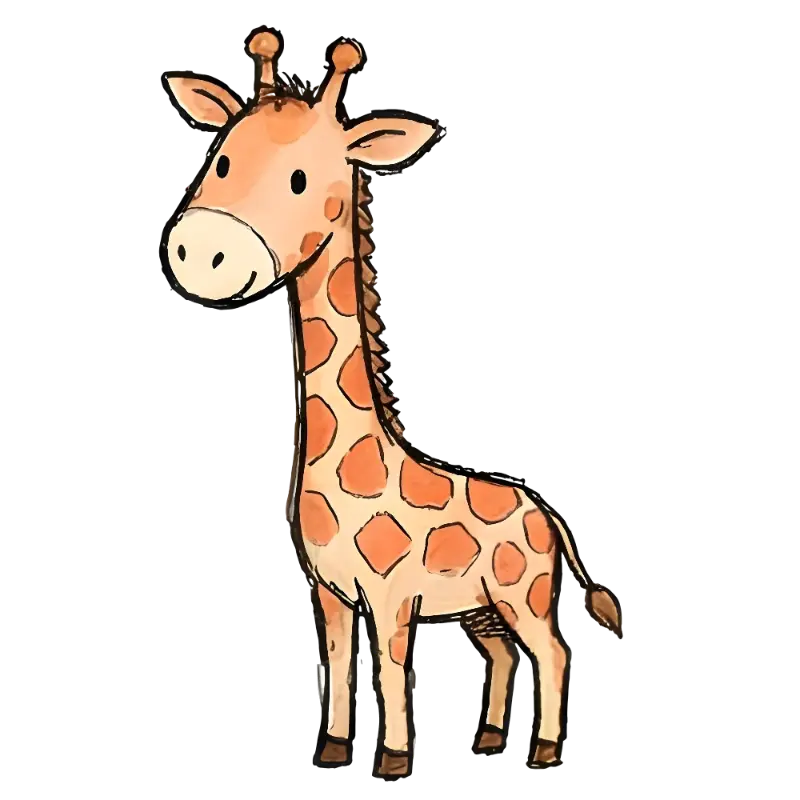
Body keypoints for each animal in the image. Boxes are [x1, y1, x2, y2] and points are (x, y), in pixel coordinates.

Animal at [161, 31, 623, 777]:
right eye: (222, 158)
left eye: (300, 179)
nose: (204, 254)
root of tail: (545, 512)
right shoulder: (331, 592)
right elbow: (338, 661)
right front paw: (333, 748)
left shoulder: (393, 596)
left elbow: (387, 666)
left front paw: (394, 760)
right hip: (480, 607)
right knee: (503, 653)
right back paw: (489, 737)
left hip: (522, 594)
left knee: (551, 653)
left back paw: (546, 751)